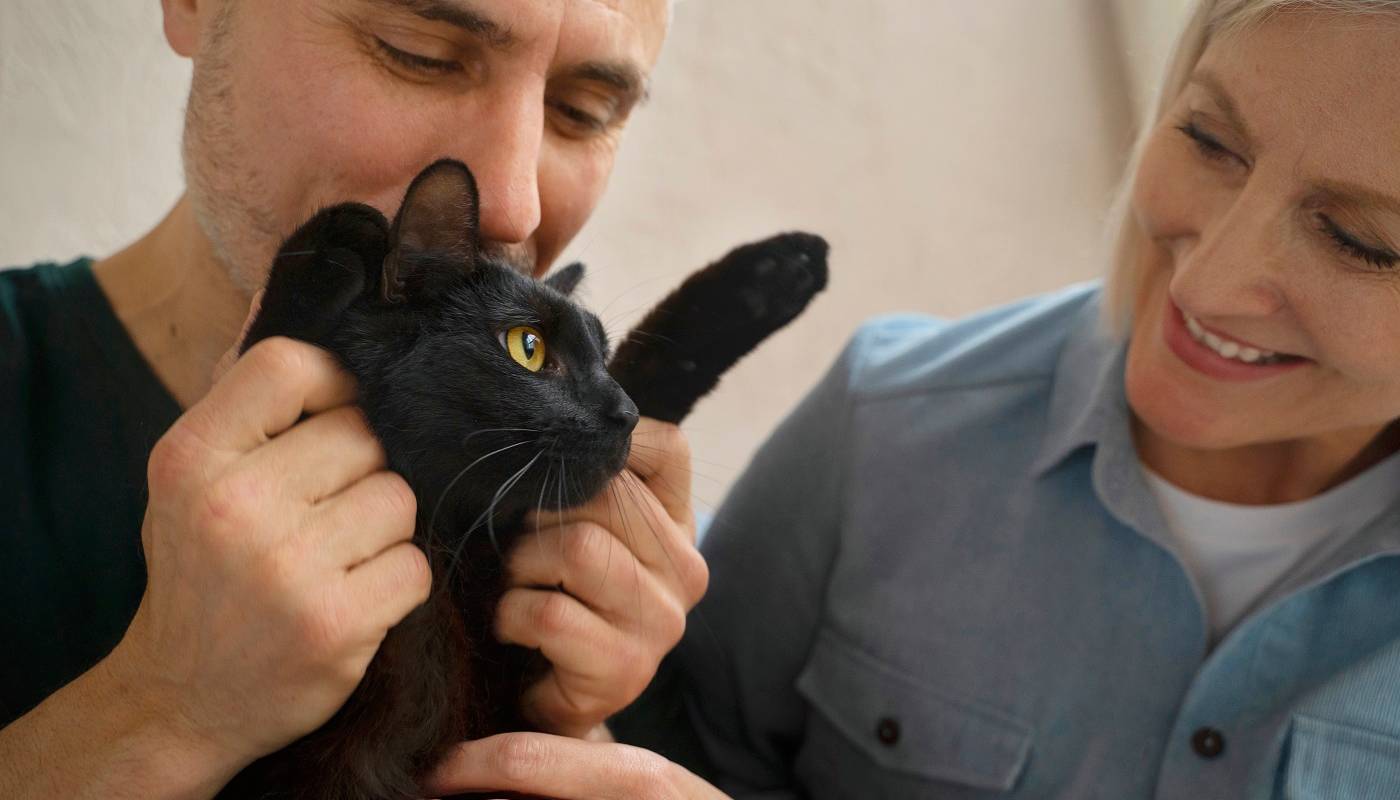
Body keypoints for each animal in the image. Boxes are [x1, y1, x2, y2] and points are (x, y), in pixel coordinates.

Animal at [218, 159, 828, 799]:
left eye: (601, 357)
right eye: (527, 348)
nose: (626, 414)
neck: (450, 542)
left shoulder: (514, 677)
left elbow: (659, 362)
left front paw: (773, 273)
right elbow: (270, 343)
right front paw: (337, 237)